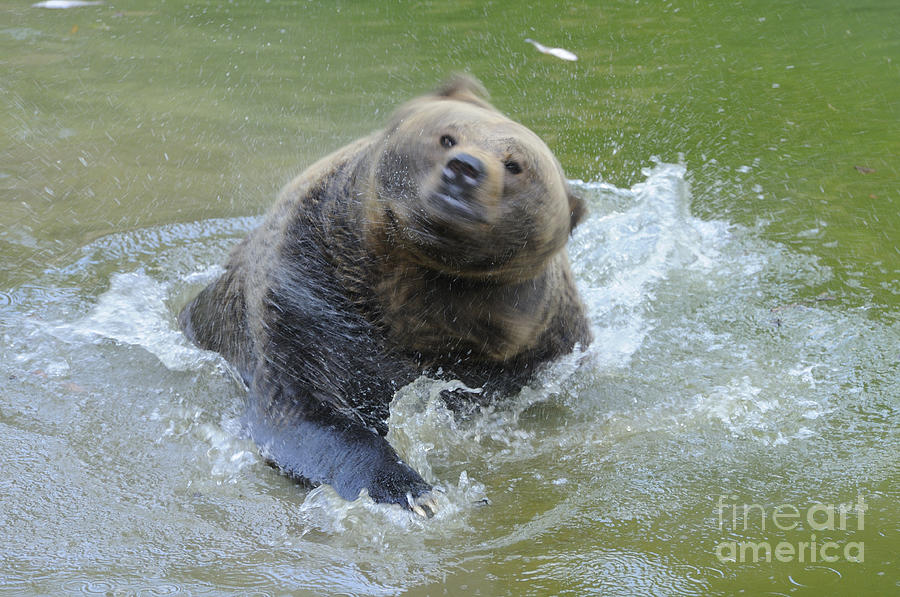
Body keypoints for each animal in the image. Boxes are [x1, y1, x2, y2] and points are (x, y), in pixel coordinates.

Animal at [180, 73, 596, 512]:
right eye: (447, 137)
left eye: (515, 164)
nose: (465, 169)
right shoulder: (307, 295)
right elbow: (302, 408)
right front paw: (415, 491)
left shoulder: (532, 354)